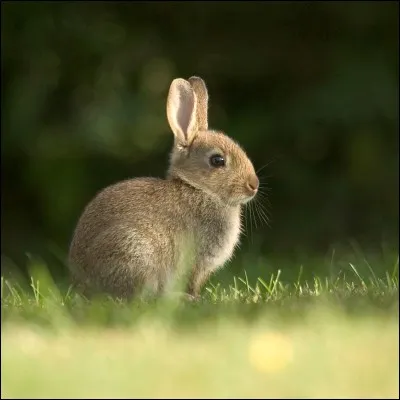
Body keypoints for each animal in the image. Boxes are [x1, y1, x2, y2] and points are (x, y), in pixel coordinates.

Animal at [68, 76, 260, 300]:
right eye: (217, 160)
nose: (253, 185)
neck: (198, 188)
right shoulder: (196, 261)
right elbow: (191, 282)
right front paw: (193, 298)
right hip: (134, 251)